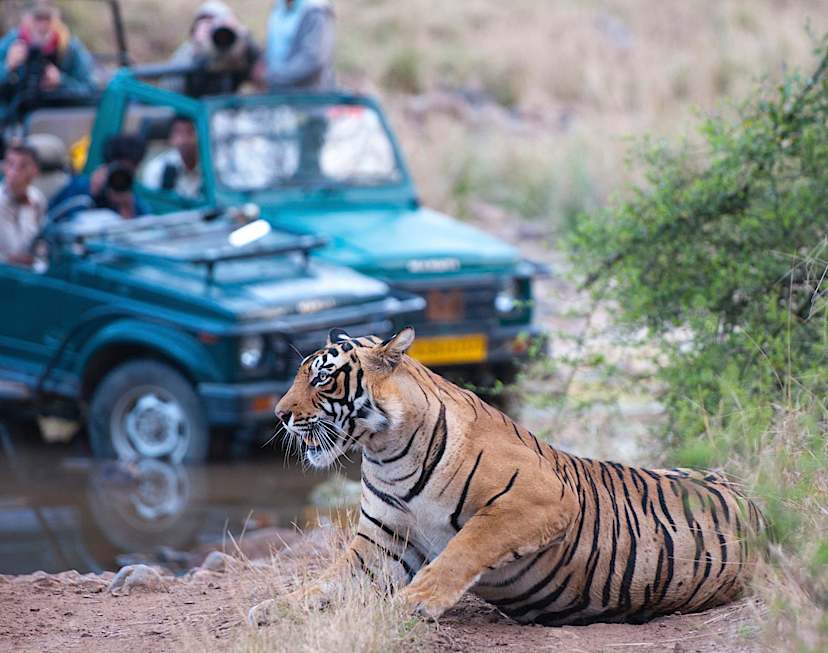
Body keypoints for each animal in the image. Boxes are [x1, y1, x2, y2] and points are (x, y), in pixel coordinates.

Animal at [248, 327, 765, 627]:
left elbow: (465, 547)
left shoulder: (540, 498)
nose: (279, 415)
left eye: (321, 378)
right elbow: (326, 582)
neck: (385, 452)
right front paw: (273, 608)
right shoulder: (381, 544)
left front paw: (415, 602)